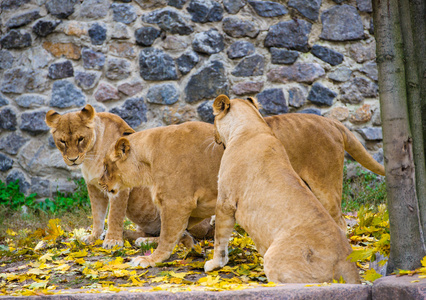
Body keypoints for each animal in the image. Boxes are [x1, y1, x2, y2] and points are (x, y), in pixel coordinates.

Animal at [205, 96, 362, 284]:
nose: (213, 136)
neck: (251, 128)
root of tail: (346, 261)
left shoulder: (226, 201)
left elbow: (219, 239)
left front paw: (214, 264)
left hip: (275, 257)